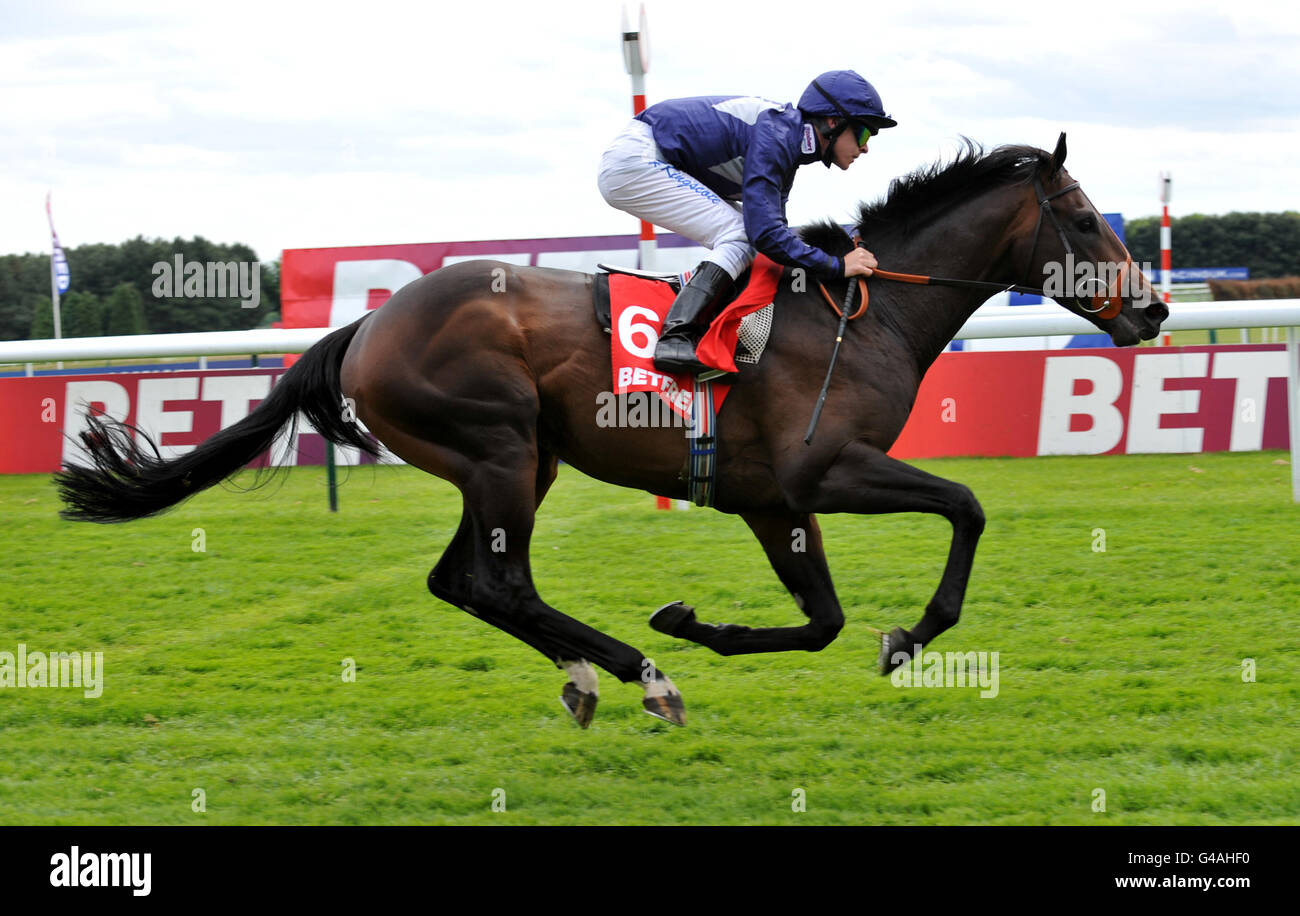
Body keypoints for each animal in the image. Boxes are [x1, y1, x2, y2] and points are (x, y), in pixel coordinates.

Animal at [55, 130, 1164, 727]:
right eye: (1081, 218)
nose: (1153, 310)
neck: (865, 309)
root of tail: (369, 321)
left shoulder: (771, 499)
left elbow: (821, 619)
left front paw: (701, 622)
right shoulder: (823, 470)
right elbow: (964, 505)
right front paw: (909, 635)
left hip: (509, 463)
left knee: (462, 581)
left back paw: (596, 671)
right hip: (500, 448)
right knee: (499, 582)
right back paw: (642, 674)